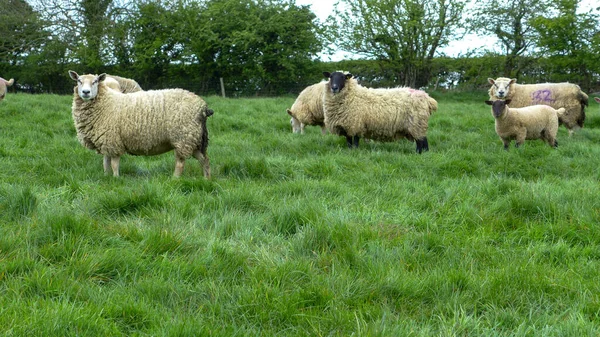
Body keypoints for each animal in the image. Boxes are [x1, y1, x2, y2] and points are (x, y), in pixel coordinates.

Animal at [68, 69, 212, 177]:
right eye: (79, 81)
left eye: (95, 81)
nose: (85, 92)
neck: (106, 102)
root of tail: (202, 106)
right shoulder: (105, 141)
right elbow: (105, 163)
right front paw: (106, 177)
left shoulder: (113, 141)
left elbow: (114, 164)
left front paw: (116, 179)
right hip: (194, 139)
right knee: (204, 159)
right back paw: (207, 179)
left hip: (183, 137)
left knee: (180, 163)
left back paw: (175, 179)